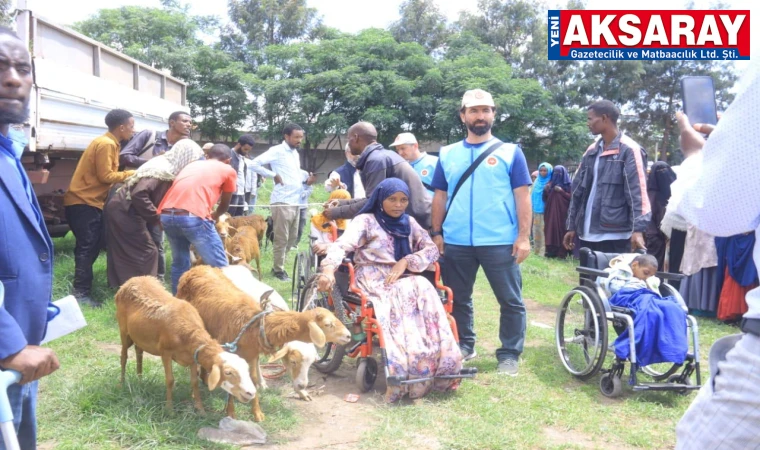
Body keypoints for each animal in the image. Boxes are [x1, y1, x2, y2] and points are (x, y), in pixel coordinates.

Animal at [113, 276, 255, 414]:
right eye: (228, 372)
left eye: (246, 369)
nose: (251, 393)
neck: (189, 333)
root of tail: (130, 281)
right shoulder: (166, 352)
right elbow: (170, 380)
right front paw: (170, 410)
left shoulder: (193, 357)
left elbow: (194, 382)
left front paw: (200, 409)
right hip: (124, 331)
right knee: (124, 356)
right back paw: (121, 383)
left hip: (139, 335)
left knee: (139, 352)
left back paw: (140, 378)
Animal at [175, 266, 350, 420]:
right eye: (328, 324)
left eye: (312, 362)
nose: (348, 336)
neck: (256, 324)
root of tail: (196, 268)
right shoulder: (231, 357)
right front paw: (231, 414)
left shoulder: (251, 356)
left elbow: (252, 379)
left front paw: (258, 413)